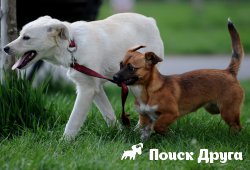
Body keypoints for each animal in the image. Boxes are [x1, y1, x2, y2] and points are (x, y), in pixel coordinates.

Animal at [4, 13, 164, 140]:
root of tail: (151, 20)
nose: (5, 48)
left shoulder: (87, 89)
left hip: (138, 83)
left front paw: (64, 142)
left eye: (26, 37)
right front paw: (118, 132)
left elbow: (74, 120)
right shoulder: (95, 88)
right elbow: (108, 113)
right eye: (20, 35)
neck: (72, 46)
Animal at [113, 19, 244, 140]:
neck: (147, 91)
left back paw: (233, 139)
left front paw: (169, 134)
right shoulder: (145, 119)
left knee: (237, 126)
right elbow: (145, 134)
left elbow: (158, 126)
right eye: (120, 64)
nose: (114, 77)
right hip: (214, 108)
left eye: (131, 68)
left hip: (228, 111)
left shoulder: (171, 113)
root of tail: (229, 72)